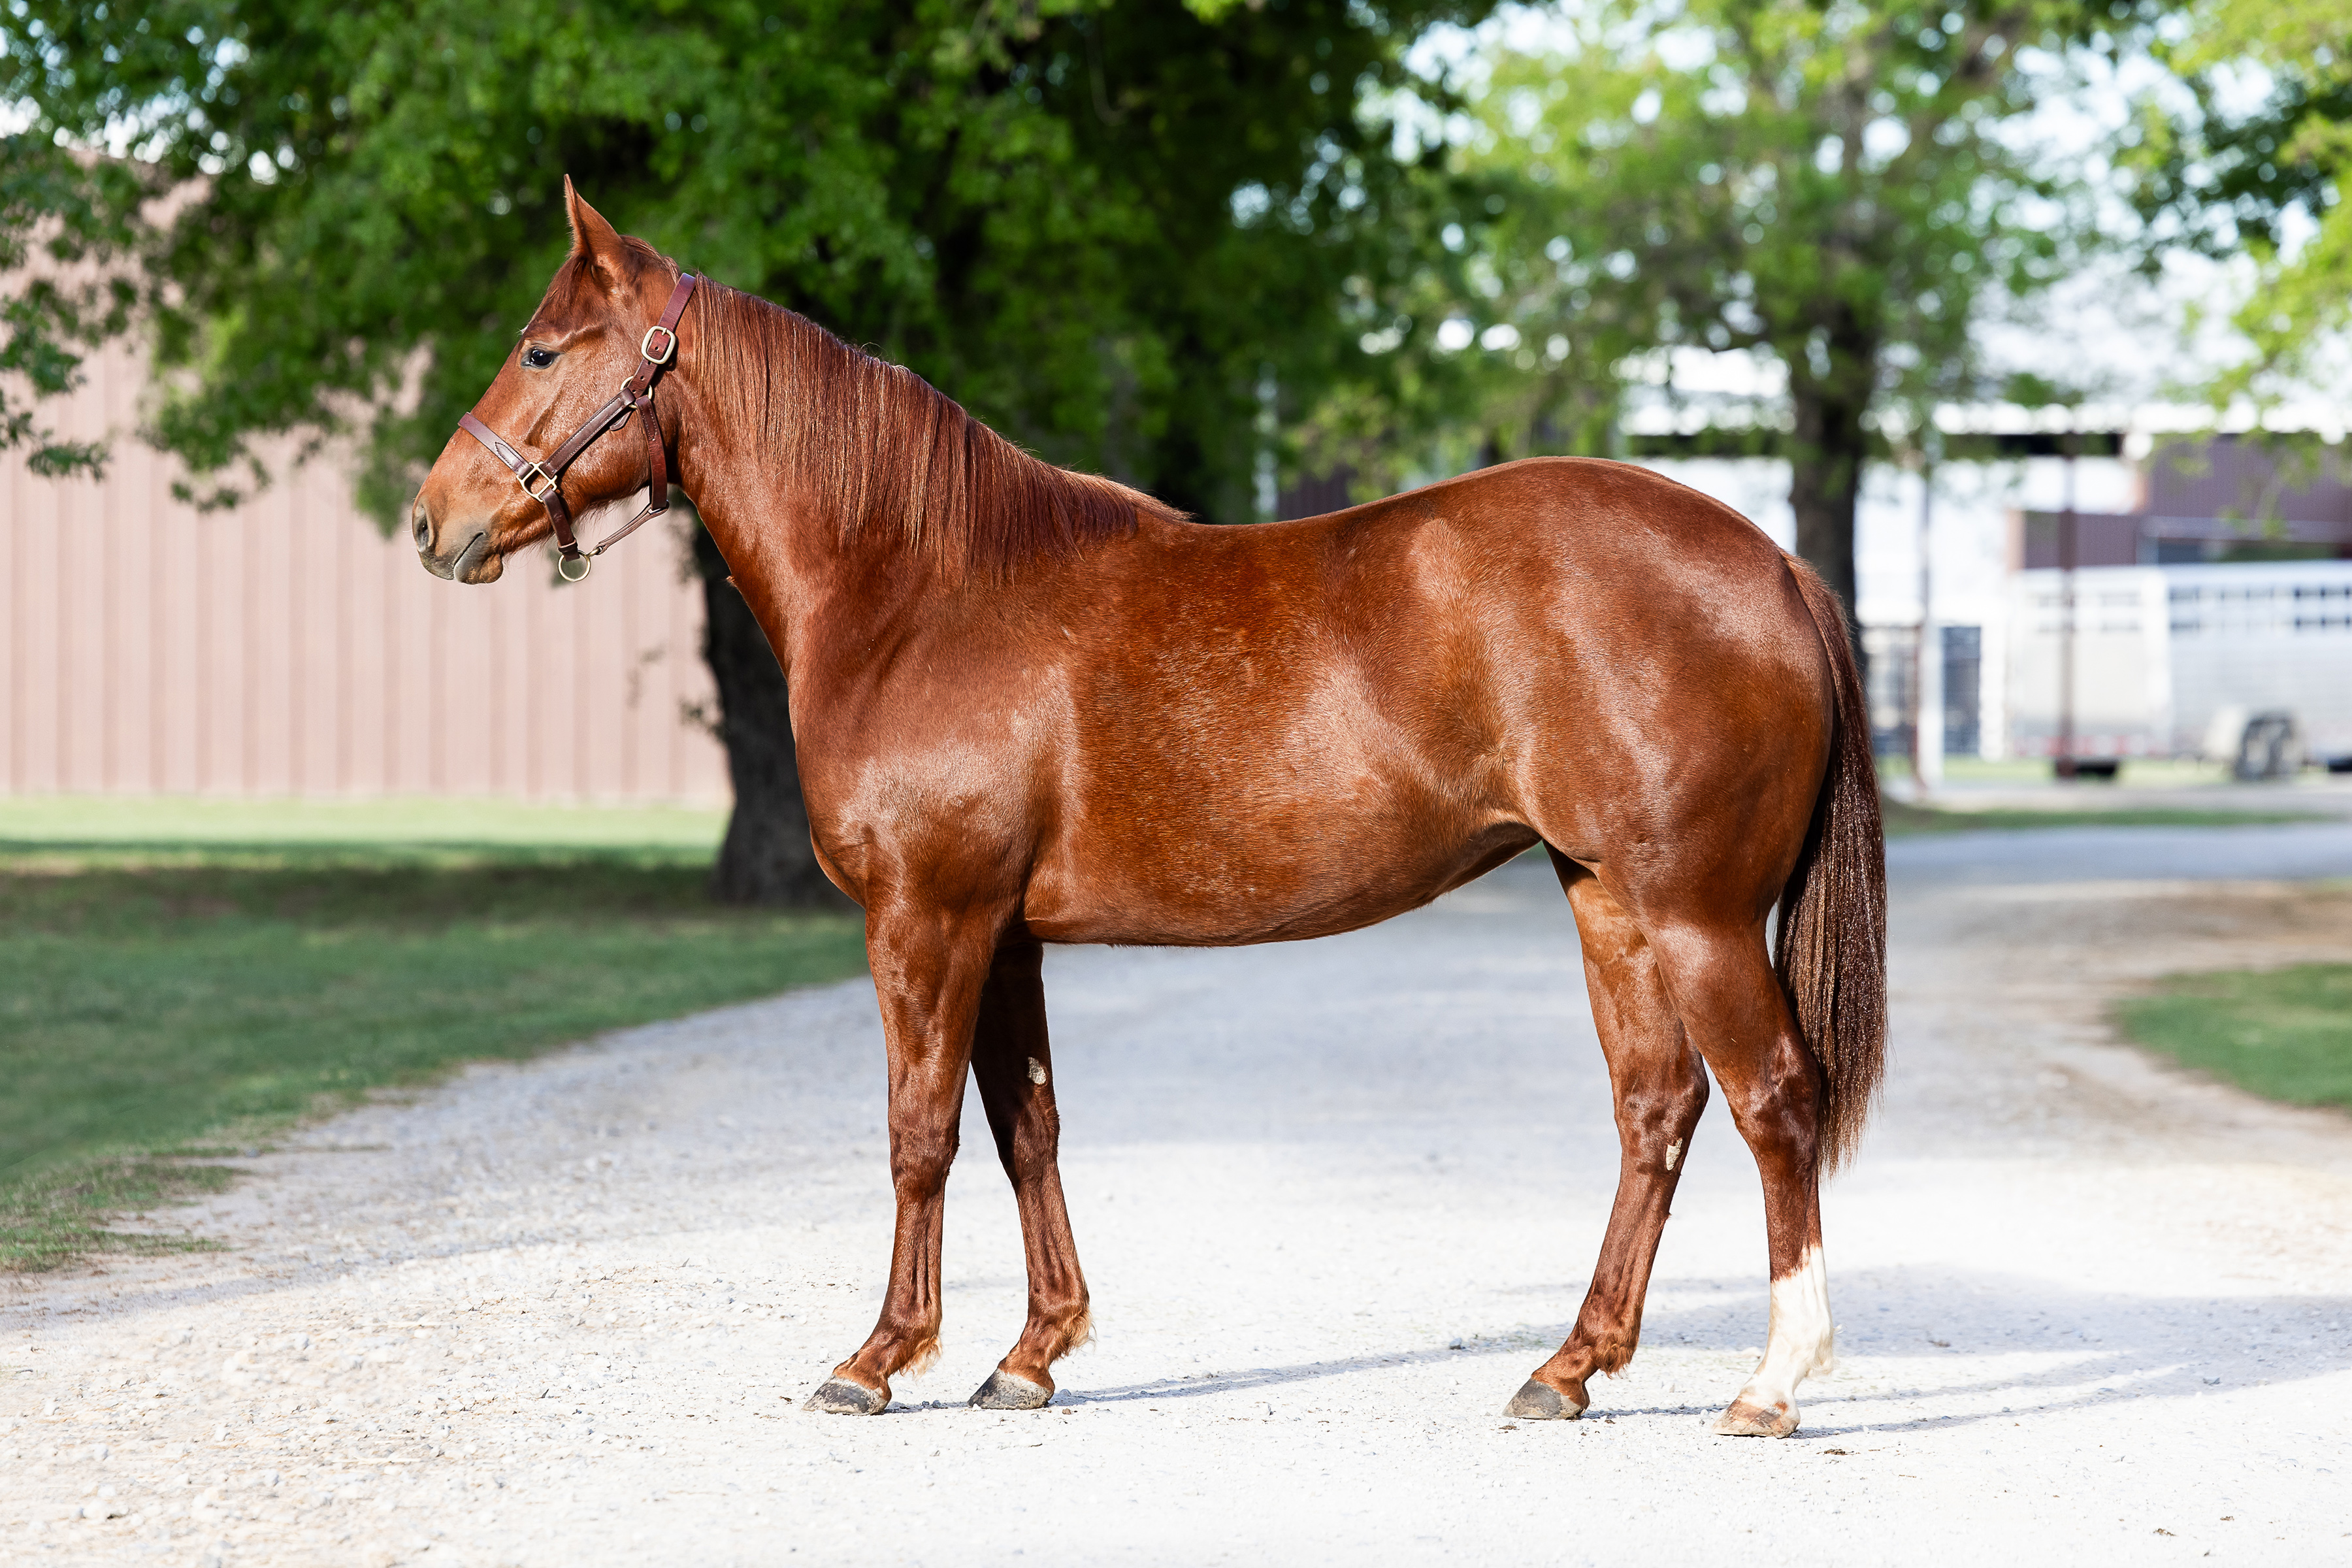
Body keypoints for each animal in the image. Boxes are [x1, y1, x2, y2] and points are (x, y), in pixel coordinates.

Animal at [411, 181, 1885, 1437]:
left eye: (541, 353)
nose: (433, 522)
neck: (921, 593)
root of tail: (1769, 564)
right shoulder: (1001, 934)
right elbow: (1028, 1129)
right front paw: (1030, 1356)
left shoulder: (927, 919)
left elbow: (919, 1133)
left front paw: (880, 1360)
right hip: (1609, 901)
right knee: (1656, 1109)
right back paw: (1569, 1370)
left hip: (1696, 915)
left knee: (1773, 1100)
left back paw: (1773, 1381)